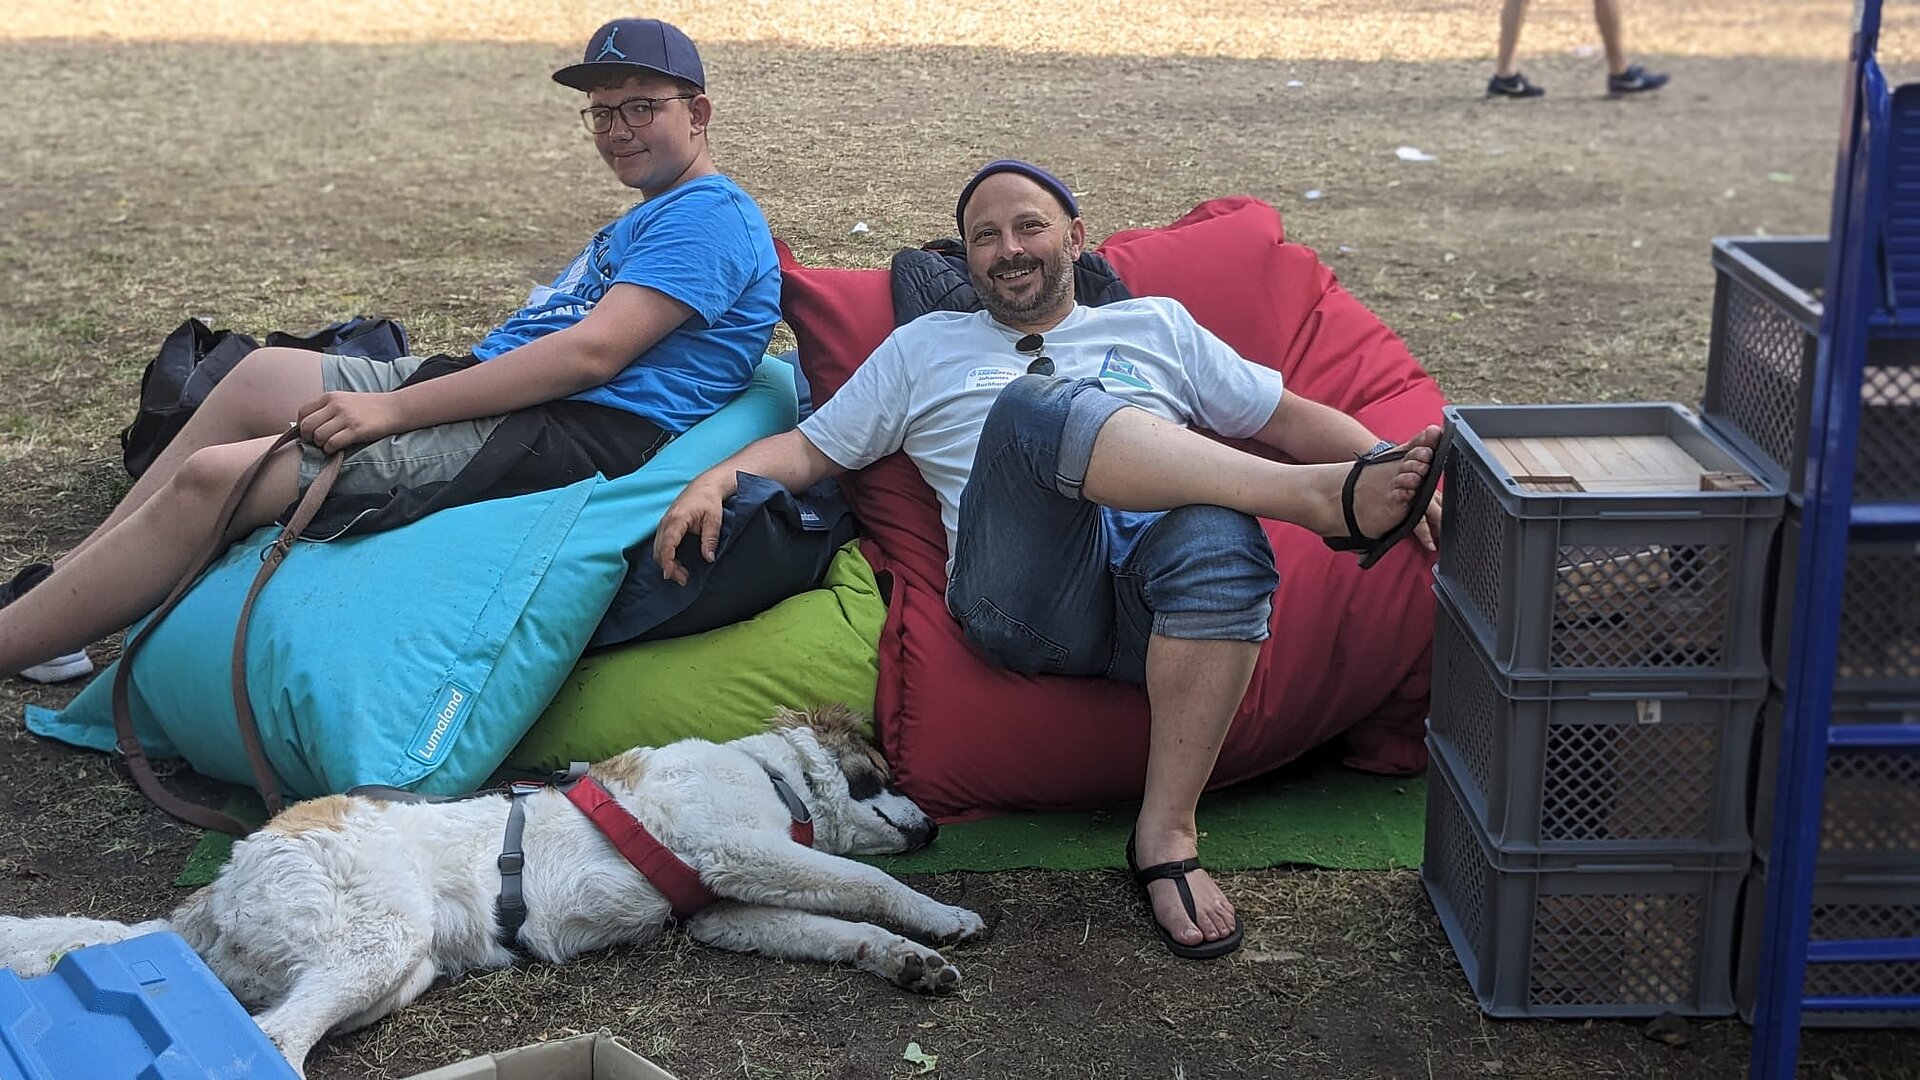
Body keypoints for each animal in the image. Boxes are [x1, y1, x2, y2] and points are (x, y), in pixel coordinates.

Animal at [0, 704, 984, 1076]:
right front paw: (943, 914)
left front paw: (910, 962)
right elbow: (865, 881)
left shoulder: (729, 910)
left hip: (392, 973)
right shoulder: (739, 849)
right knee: (275, 1038)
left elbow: (844, 928)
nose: (937, 829)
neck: (772, 777)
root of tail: (216, 889)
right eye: (883, 769)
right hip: (381, 944)